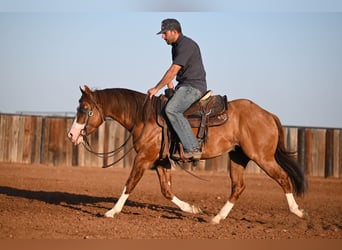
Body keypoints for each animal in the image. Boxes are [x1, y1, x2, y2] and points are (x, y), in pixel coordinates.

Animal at [67, 86, 308, 225]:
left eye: (84, 108)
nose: (71, 134)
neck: (144, 116)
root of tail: (268, 114)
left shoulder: (144, 158)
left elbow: (129, 184)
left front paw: (111, 211)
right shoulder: (161, 161)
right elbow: (166, 191)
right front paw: (191, 208)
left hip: (262, 157)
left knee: (283, 178)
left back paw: (298, 212)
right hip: (238, 157)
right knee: (238, 187)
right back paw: (216, 218)